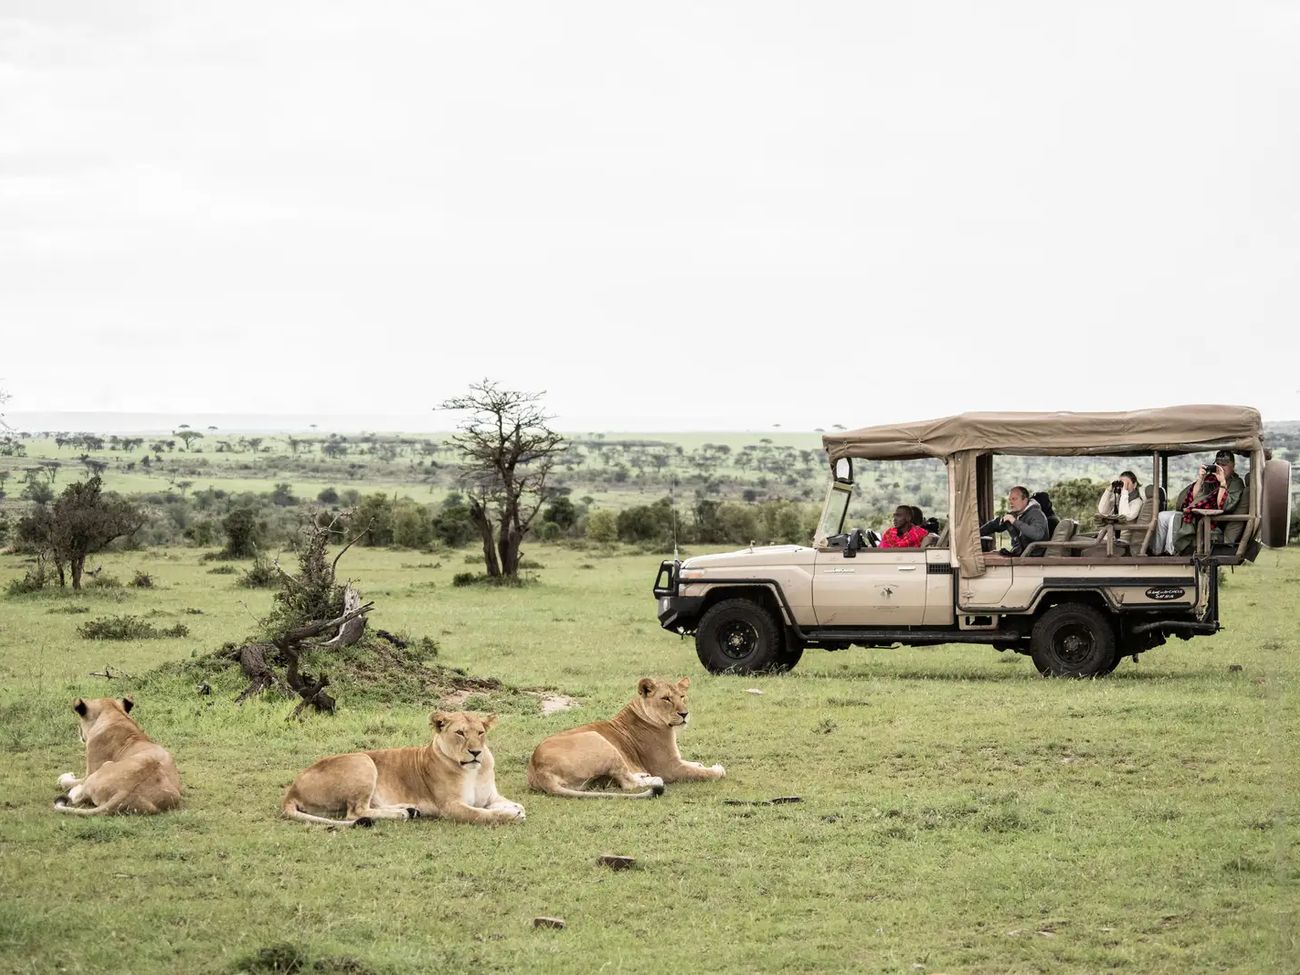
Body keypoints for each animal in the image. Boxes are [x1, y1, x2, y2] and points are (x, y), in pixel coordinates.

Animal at [281, 711, 525, 827]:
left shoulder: (490, 797)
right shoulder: (450, 806)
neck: (474, 771)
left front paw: (516, 808)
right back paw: (401, 813)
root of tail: (291, 791)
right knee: (356, 812)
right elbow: (482, 814)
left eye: (480, 732)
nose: (476, 752)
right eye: (460, 733)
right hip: (363, 760)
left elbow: (511, 803)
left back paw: (409, 809)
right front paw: (510, 815)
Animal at [527, 677, 726, 799]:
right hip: (599, 740)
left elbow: (693, 764)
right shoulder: (668, 767)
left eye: (683, 696)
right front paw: (717, 770)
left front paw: (702, 764)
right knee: (628, 783)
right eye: (666, 699)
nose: (684, 714)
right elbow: (698, 772)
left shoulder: (675, 760)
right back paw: (654, 780)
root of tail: (538, 768)